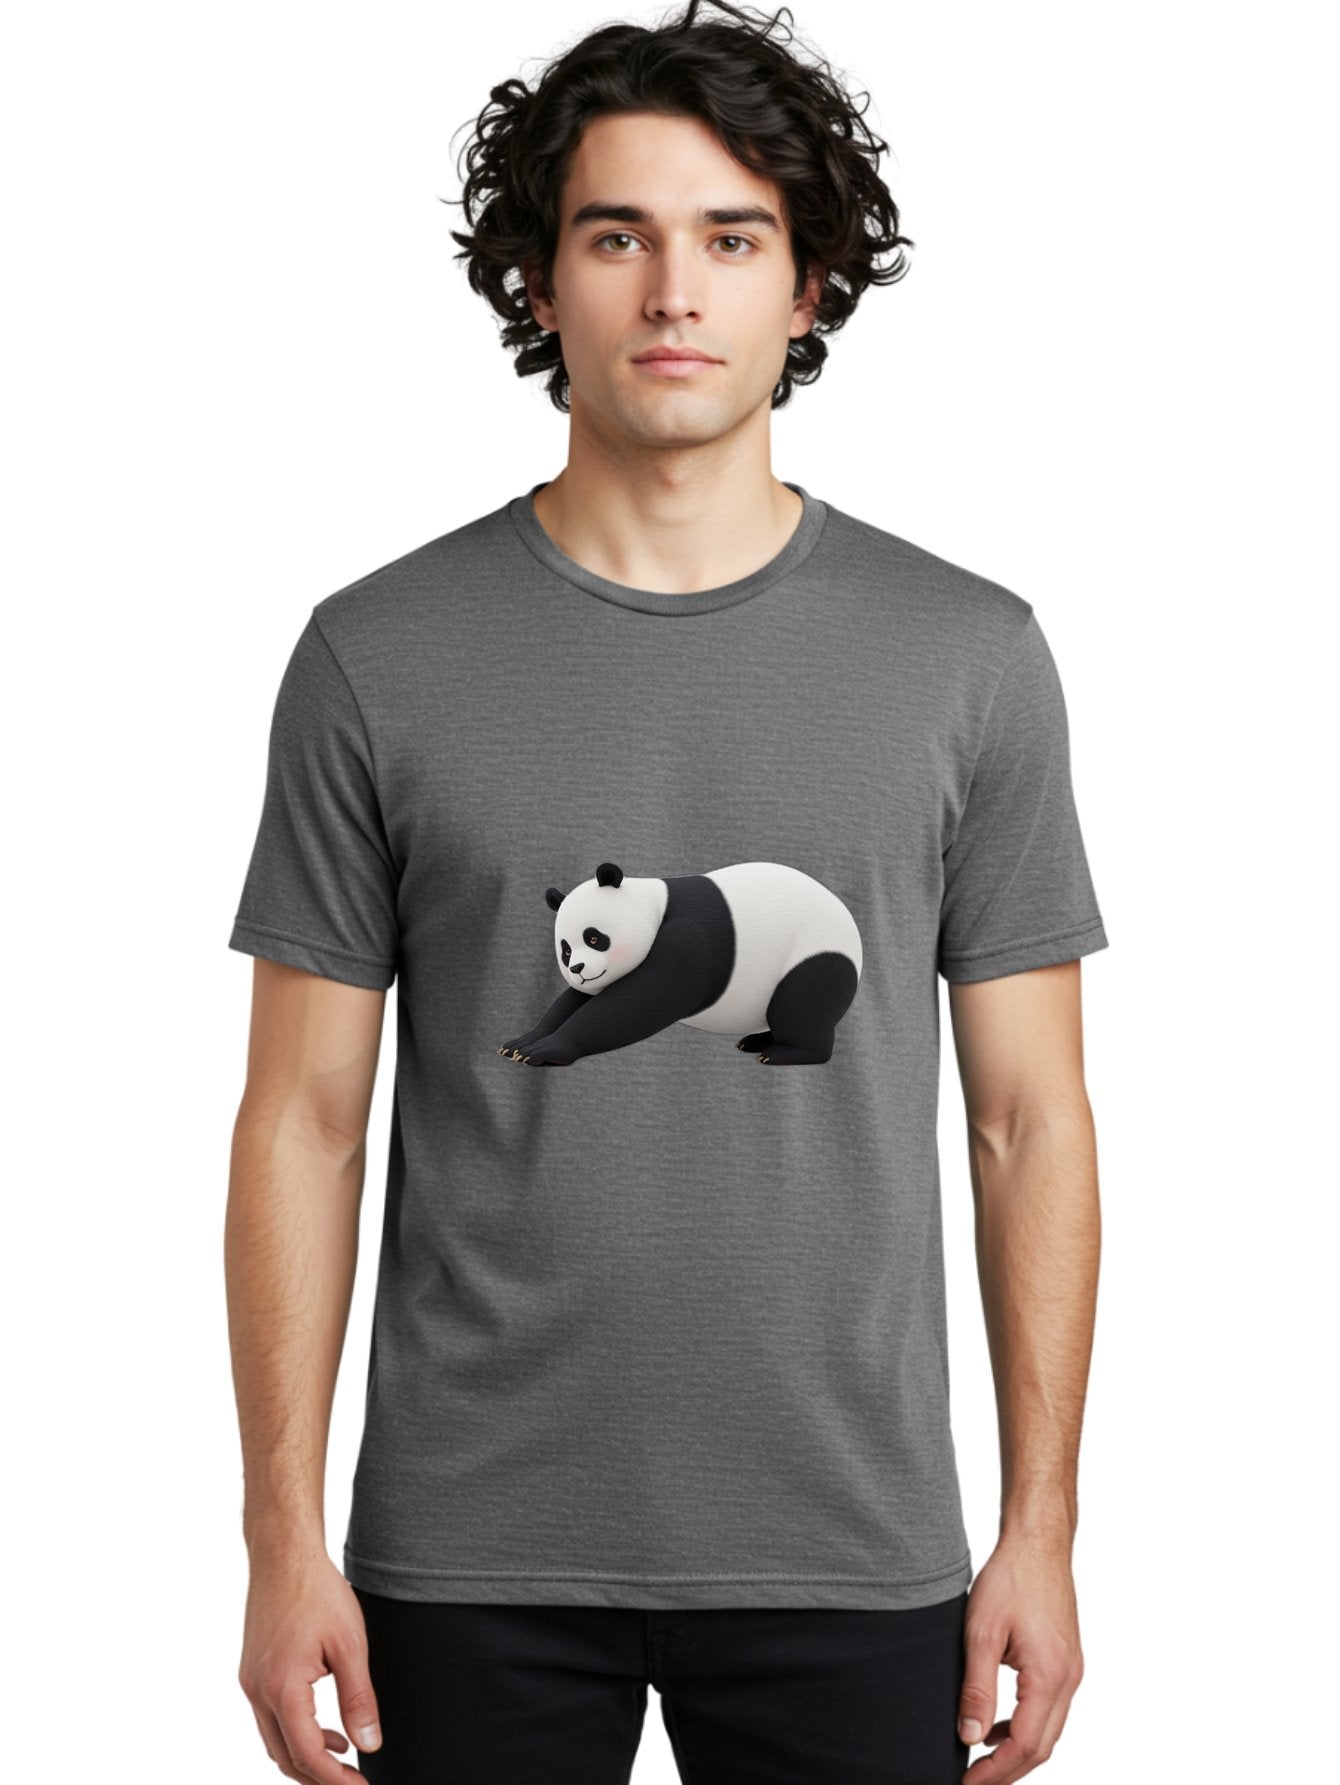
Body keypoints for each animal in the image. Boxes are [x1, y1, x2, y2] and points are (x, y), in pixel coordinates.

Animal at [497, 860, 862, 1068]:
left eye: (594, 938)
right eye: (565, 951)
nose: (577, 971)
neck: (653, 903)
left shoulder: (690, 938)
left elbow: (640, 1002)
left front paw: (547, 1049)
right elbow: (574, 1002)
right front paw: (520, 1044)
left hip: (815, 955)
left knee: (800, 1003)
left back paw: (785, 1053)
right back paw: (758, 1041)